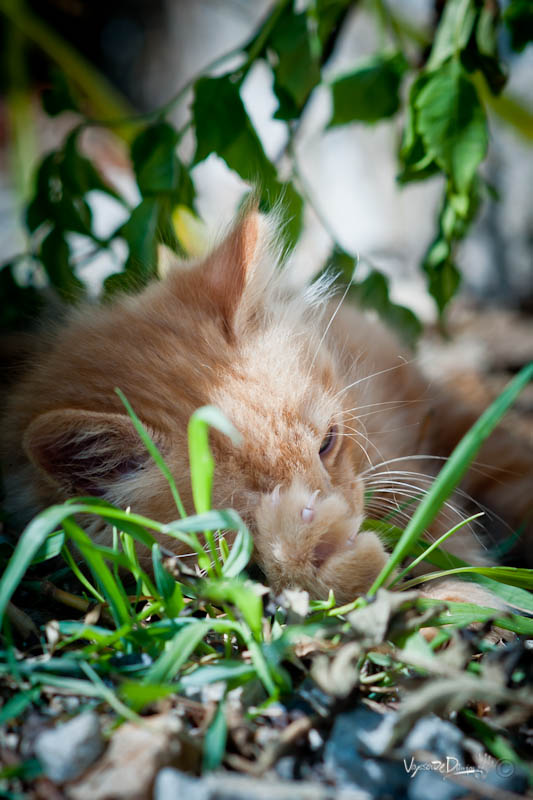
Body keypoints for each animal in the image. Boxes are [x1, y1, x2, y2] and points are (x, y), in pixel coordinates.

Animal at [2, 209, 528, 604]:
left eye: (328, 443)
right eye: (248, 511)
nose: (339, 511)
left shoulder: (398, 467)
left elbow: (447, 539)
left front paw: (466, 595)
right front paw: (317, 551)